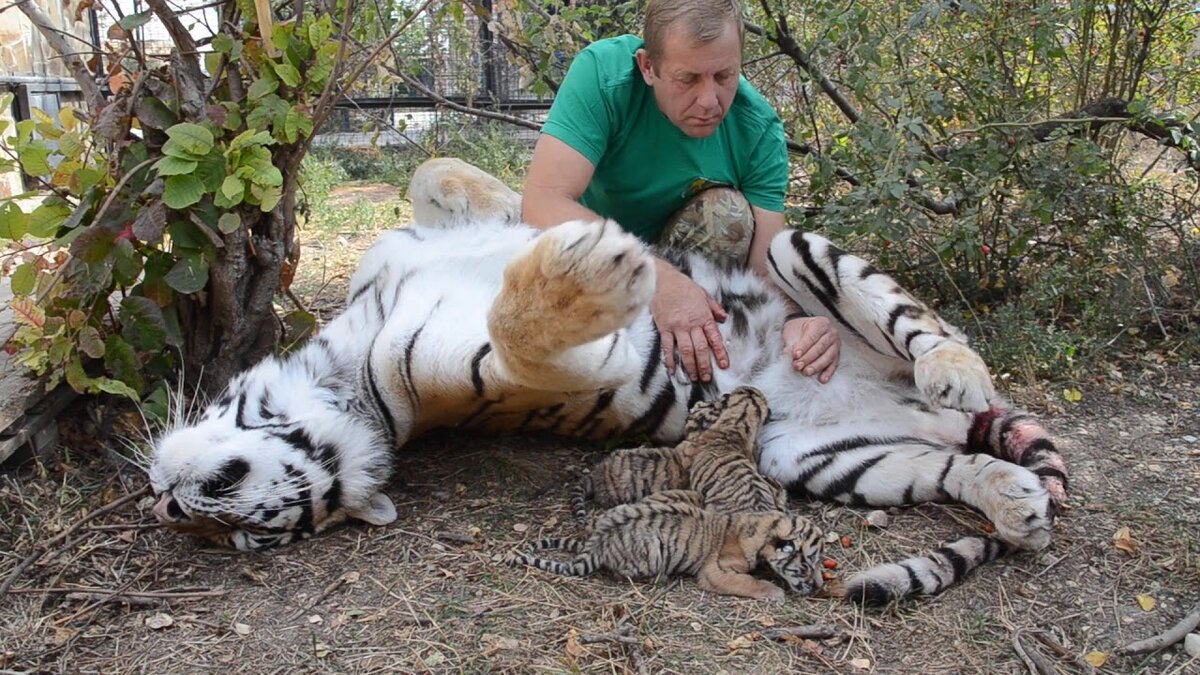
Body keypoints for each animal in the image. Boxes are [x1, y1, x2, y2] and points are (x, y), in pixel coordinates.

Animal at [506, 487, 825, 598]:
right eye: (806, 566)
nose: (820, 586)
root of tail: (598, 542)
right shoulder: (716, 571)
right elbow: (746, 582)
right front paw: (773, 592)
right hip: (651, 551)